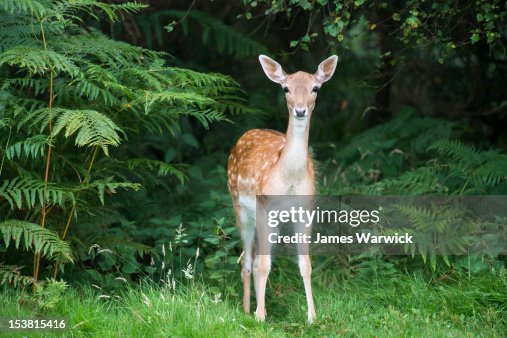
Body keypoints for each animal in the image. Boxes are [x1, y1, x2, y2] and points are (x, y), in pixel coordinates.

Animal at [228, 54, 340, 322]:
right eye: (286, 88)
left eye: (315, 88)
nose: (300, 110)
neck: (288, 179)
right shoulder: (264, 207)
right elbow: (263, 264)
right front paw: (259, 316)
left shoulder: (305, 210)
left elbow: (305, 264)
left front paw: (312, 316)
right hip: (239, 205)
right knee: (247, 261)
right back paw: (247, 310)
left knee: (255, 259)